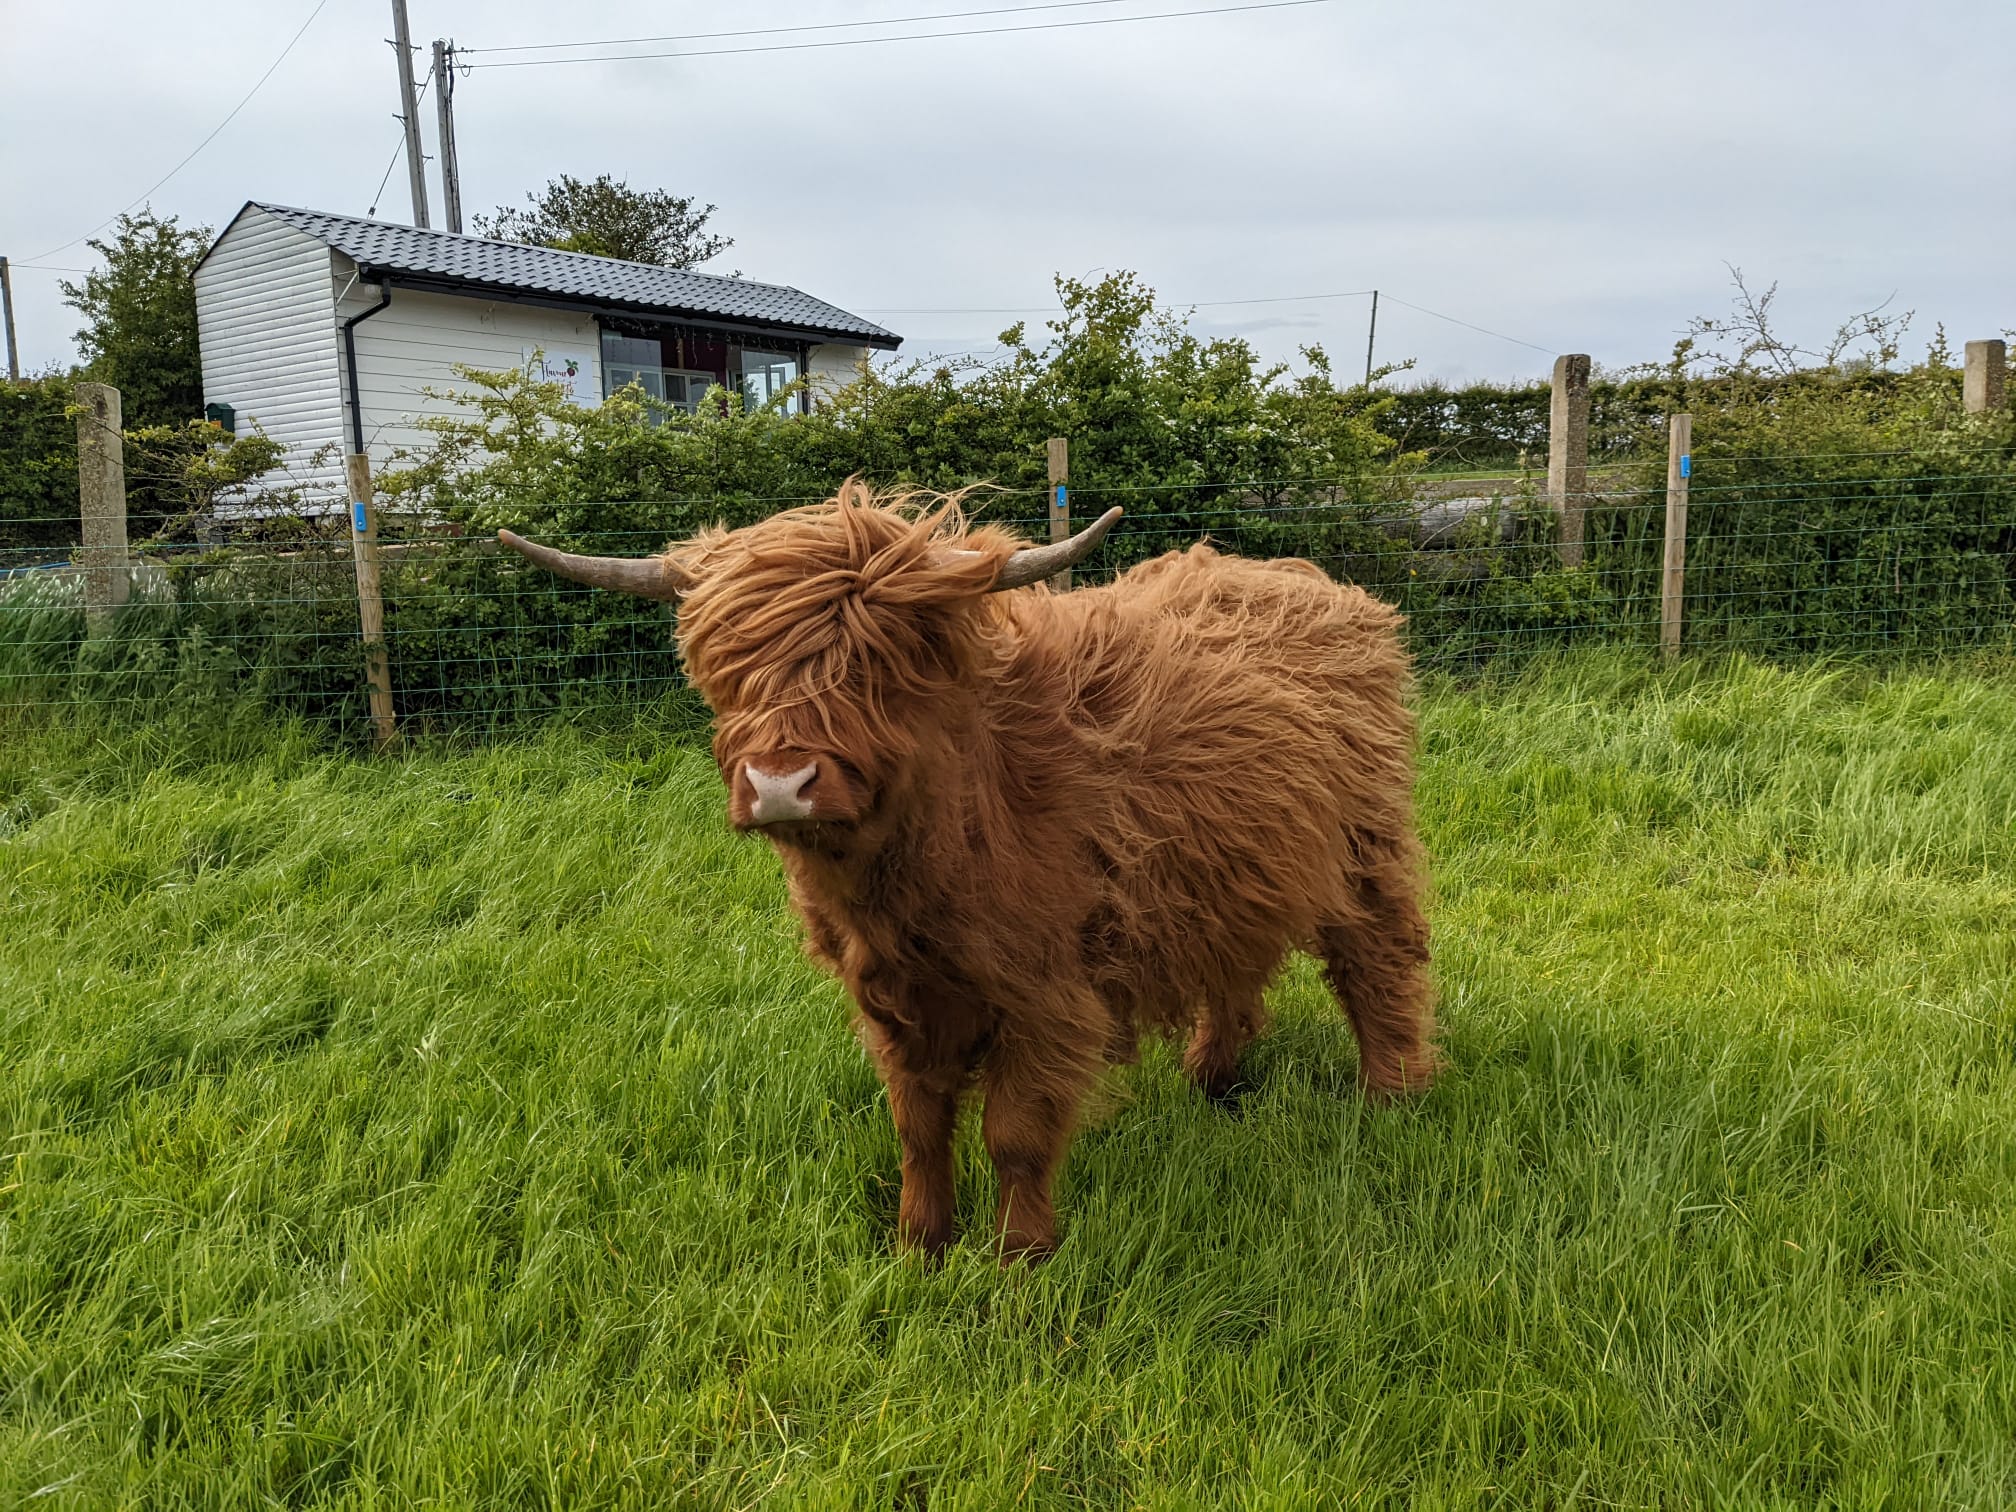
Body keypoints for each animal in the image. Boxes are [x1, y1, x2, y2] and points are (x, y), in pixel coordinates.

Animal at [500, 481, 1435, 1261]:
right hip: (1233, 864)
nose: (779, 784)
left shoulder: (1045, 990)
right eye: (727, 669)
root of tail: (1312, 585)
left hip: (1363, 843)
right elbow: (917, 1125)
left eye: (872, 664)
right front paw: (920, 1246)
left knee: (1379, 956)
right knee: (1237, 960)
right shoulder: (890, 994)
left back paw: (1390, 1097)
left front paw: (1020, 1260)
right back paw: (1212, 1075)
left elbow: (1014, 1135)